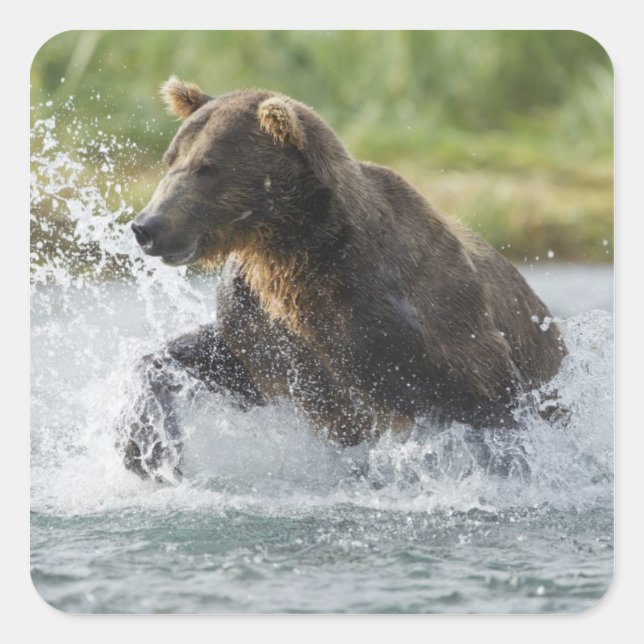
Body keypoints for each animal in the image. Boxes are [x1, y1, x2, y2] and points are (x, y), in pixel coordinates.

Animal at [119, 77, 566, 480]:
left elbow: (486, 400)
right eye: (170, 158)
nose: (147, 226)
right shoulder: (263, 325)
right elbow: (213, 359)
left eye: (208, 168)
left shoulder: (414, 322)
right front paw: (147, 447)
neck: (294, 252)